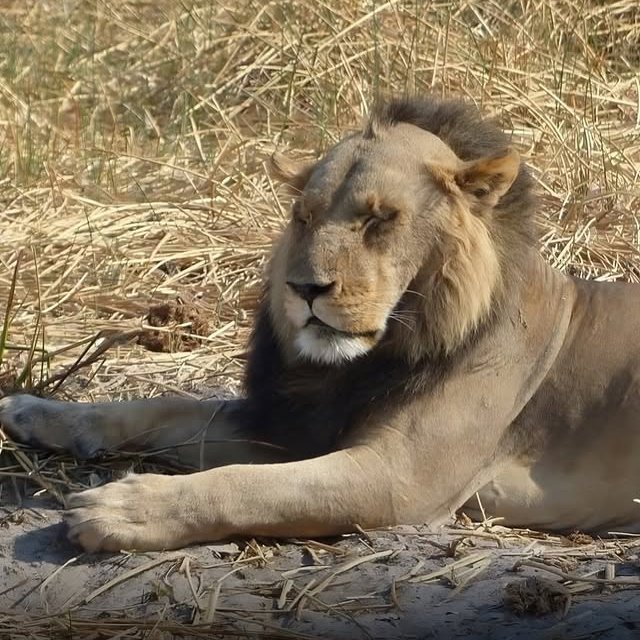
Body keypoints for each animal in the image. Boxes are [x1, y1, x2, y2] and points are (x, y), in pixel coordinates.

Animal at [2, 96, 640, 553]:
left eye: (379, 219)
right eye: (303, 216)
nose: (305, 289)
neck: (364, 363)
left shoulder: (400, 479)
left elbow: (250, 486)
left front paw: (121, 510)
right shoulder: (291, 423)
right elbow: (163, 409)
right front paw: (36, 412)